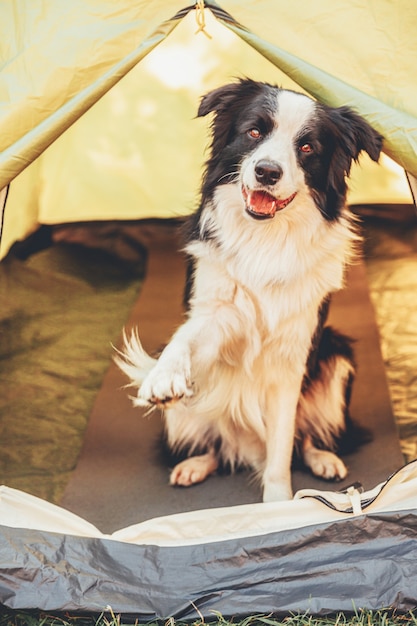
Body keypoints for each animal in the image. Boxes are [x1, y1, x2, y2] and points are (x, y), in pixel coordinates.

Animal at [115, 78, 382, 500]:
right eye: (254, 132)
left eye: (307, 147)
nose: (267, 171)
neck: (265, 239)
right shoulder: (217, 316)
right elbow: (186, 338)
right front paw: (165, 375)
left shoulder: (293, 354)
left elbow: (282, 445)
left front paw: (278, 504)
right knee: (214, 445)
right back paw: (194, 464)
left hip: (337, 354)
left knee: (302, 438)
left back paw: (323, 459)